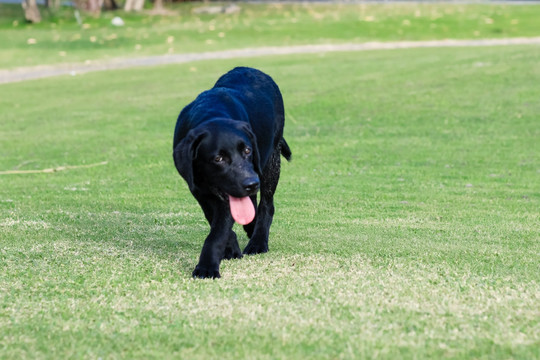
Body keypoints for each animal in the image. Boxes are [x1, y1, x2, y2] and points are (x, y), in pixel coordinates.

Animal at [173, 66, 292, 278]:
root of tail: (251, 69)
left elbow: (217, 232)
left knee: (266, 205)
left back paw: (257, 242)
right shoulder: (198, 190)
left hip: (270, 163)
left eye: (247, 151)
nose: (251, 183)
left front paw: (207, 267)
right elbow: (215, 221)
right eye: (218, 159)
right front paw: (231, 248)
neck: (211, 113)